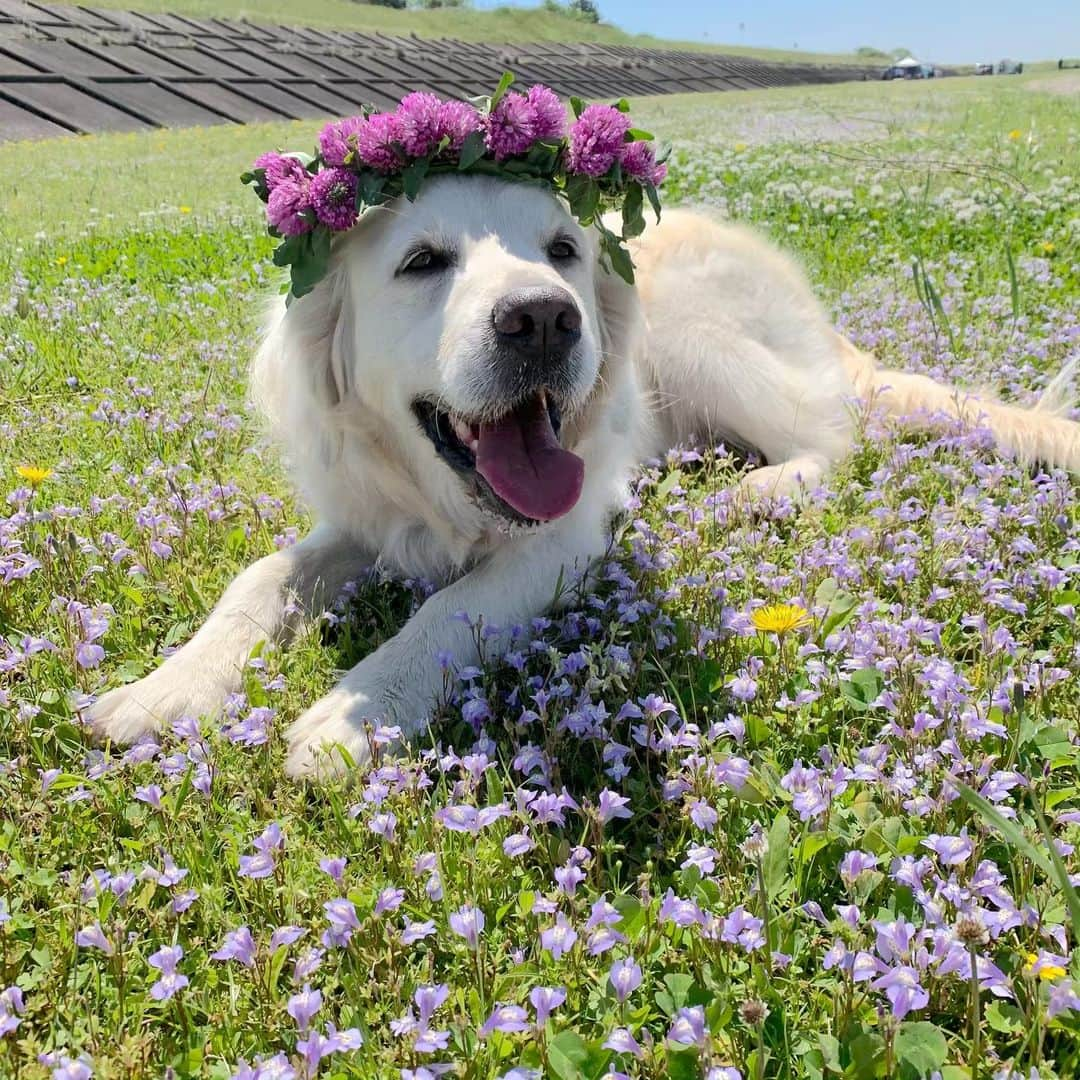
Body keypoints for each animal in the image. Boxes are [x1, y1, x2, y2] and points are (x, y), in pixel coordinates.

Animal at [88, 174, 1080, 777]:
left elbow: (453, 607)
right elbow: (258, 580)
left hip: (691, 334)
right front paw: (162, 693)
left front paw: (352, 714)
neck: (452, 504)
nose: (541, 319)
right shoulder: (363, 520)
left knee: (834, 435)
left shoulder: (567, 533)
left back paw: (763, 488)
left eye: (562, 249)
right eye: (421, 262)